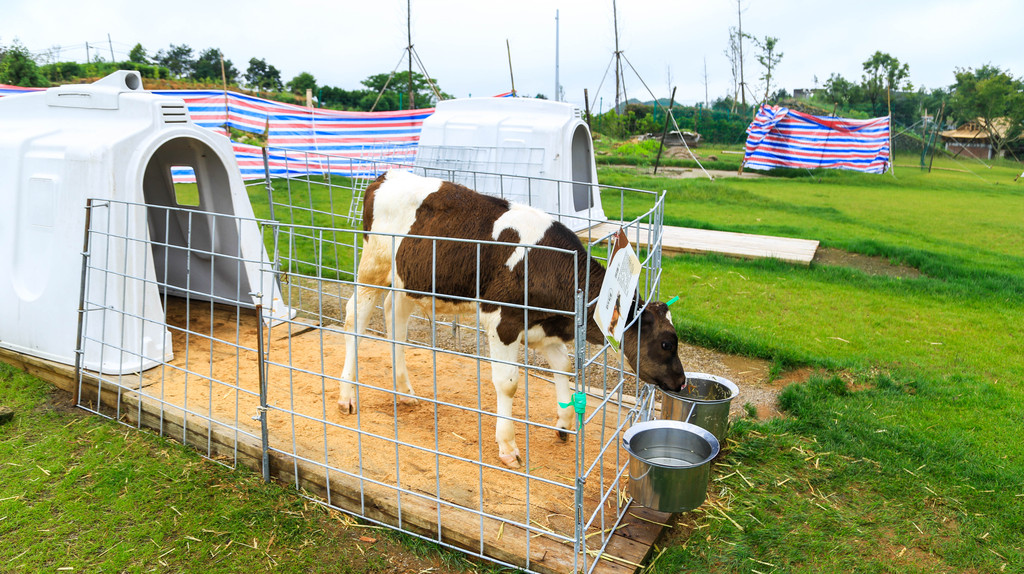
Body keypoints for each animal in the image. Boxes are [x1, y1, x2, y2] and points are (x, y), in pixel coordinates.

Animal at [339, 168, 684, 466]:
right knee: (356, 317)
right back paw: (346, 396)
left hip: (409, 278)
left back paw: (404, 392)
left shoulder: (546, 326)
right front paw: (507, 446)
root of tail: (385, 175)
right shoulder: (502, 320)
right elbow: (508, 384)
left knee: (394, 317)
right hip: (373, 265)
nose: (681, 382)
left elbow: (563, 367)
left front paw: (564, 424)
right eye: (667, 343)